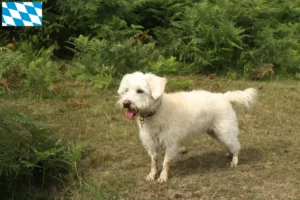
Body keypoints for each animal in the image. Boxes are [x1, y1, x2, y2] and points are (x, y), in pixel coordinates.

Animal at [117, 72, 258, 183]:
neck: (156, 111)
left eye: (140, 91)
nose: (126, 103)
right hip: (216, 133)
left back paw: (234, 161)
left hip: (225, 131)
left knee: (236, 146)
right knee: (230, 144)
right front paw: (152, 175)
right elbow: (153, 161)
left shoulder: (171, 143)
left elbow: (165, 162)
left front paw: (163, 177)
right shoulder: (150, 143)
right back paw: (229, 154)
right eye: (126, 90)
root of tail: (224, 96)